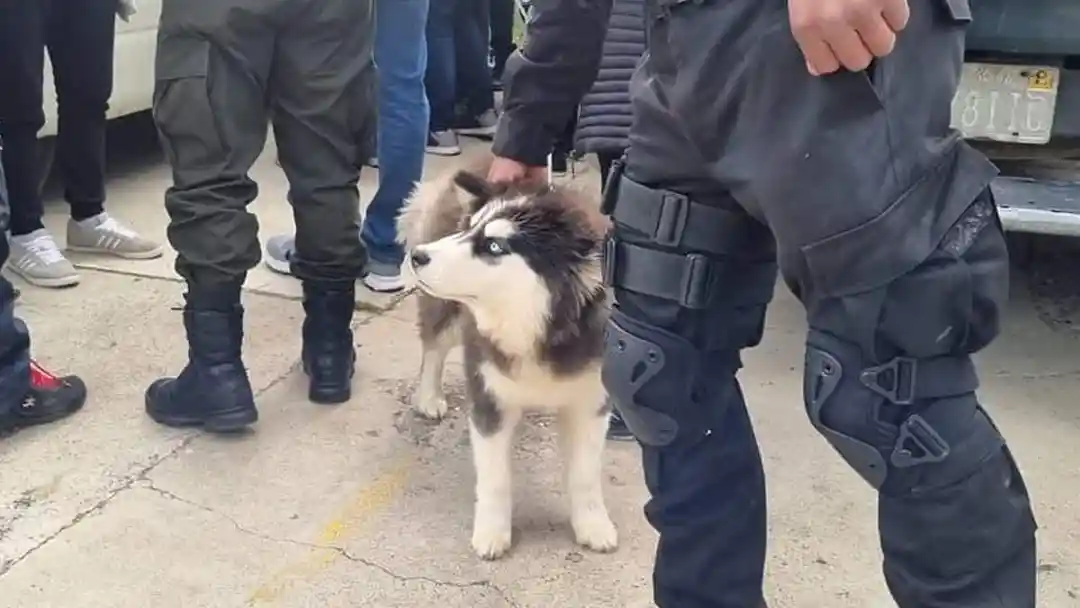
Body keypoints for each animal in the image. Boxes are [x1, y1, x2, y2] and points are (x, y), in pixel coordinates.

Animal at [395, 155, 617, 561]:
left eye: (494, 246)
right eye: (468, 229)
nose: (419, 257)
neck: (538, 328)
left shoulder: (592, 402)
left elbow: (584, 474)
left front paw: (592, 523)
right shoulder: (489, 397)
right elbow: (495, 478)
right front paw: (492, 532)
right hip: (448, 313)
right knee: (434, 346)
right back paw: (429, 396)